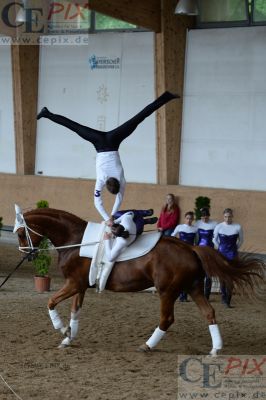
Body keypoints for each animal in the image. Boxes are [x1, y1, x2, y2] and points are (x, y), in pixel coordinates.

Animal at [15, 206, 266, 354]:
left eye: (19, 233)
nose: (27, 254)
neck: (75, 240)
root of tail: (191, 248)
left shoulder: (74, 283)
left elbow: (51, 302)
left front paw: (61, 329)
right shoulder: (81, 286)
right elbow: (75, 311)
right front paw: (68, 337)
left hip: (168, 291)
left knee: (167, 319)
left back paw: (147, 345)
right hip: (193, 287)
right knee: (209, 313)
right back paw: (216, 349)